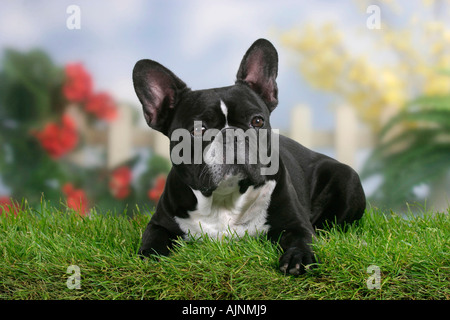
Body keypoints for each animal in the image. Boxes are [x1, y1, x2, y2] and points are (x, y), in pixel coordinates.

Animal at [133, 38, 366, 276]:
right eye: (198, 130)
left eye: (257, 121)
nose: (232, 135)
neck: (224, 199)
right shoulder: (159, 224)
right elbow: (153, 241)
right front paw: (149, 259)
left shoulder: (296, 225)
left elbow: (301, 239)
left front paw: (298, 258)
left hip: (347, 177)